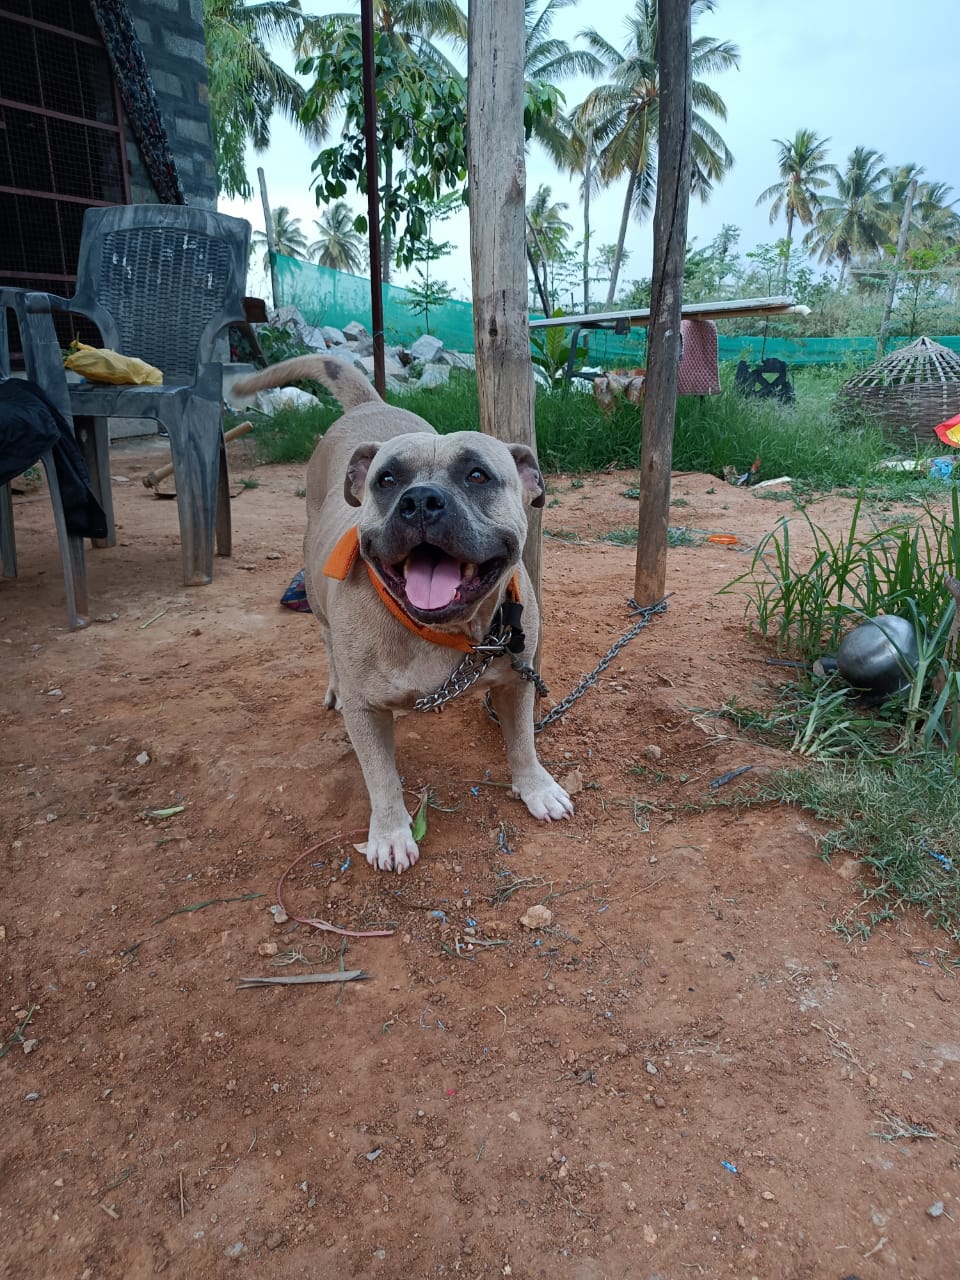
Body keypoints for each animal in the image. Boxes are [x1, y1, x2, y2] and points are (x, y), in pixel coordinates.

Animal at [231, 355, 570, 875]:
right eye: (387, 481)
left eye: (477, 475)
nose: (421, 500)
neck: (445, 630)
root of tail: (369, 405)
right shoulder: (366, 712)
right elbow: (382, 777)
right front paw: (391, 833)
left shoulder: (517, 679)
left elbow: (522, 742)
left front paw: (536, 787)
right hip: (316, 590)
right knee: (327, 642)